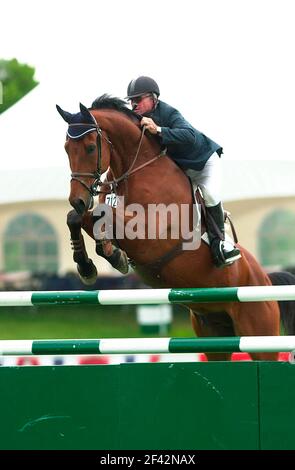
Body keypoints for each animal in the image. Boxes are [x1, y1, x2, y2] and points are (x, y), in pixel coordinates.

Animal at [56, 94, 295, 360]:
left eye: (90, 147)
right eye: (66, 149)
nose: (77, 200)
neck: (137, 170)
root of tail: (265, 278)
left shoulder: (150, 236)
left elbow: (102, 215)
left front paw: (109, 256)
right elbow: (78, 218)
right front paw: (89, 265)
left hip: (259, 333)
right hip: (213, 334)